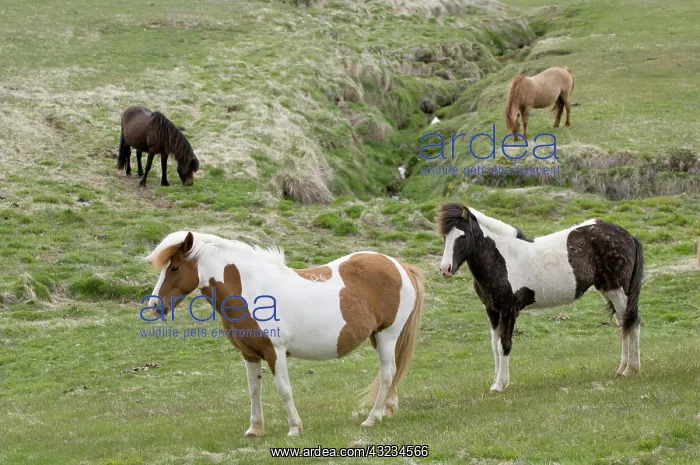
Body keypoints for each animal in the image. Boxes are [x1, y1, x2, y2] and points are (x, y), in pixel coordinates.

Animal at [144, 231, 425, 437]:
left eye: (175, 268)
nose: (155, 305)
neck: (253, 290)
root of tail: (399, 265)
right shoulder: (249, 354)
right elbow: (253, 390)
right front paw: (255, 429)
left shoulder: (274, 352)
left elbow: (284, 389)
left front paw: (294, 428)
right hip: (377, 336)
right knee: (392, 372)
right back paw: (387, 409)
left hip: (388, 334)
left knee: (387, 373)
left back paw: (372, 418)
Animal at [436, 203, 643, 392]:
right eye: (445, 237)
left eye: (463, 236)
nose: (445, 269)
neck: (502, 259)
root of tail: (629, 236)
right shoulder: (492, 311)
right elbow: (495, 346)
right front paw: (495, 382)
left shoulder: (508, 310)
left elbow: (504, 345)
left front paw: (500, 385)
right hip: (608, 291)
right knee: (624, 324)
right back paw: (622, 369)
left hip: (618, 291)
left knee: (631, 323)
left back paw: (631, 370)